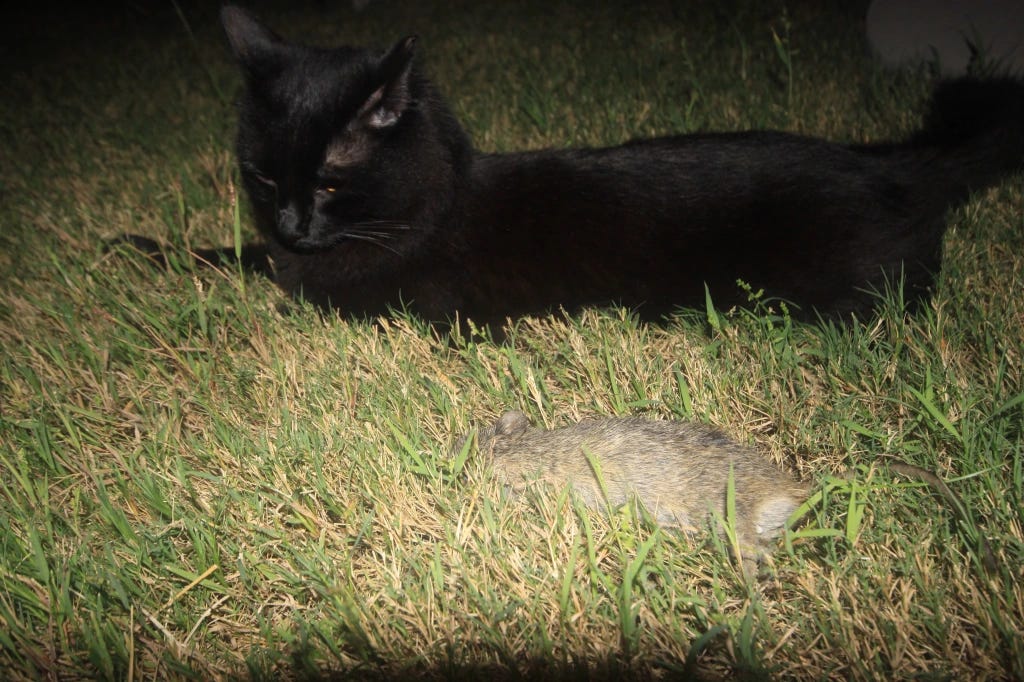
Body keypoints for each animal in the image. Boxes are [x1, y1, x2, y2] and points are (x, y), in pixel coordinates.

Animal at [140, 6, 1019, 327]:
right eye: (263, 180)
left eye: (328, 181)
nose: (292, 224)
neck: (434, 204)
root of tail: (900, 166)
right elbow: (240, 257)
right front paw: (144, 250)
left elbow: (269, 278)